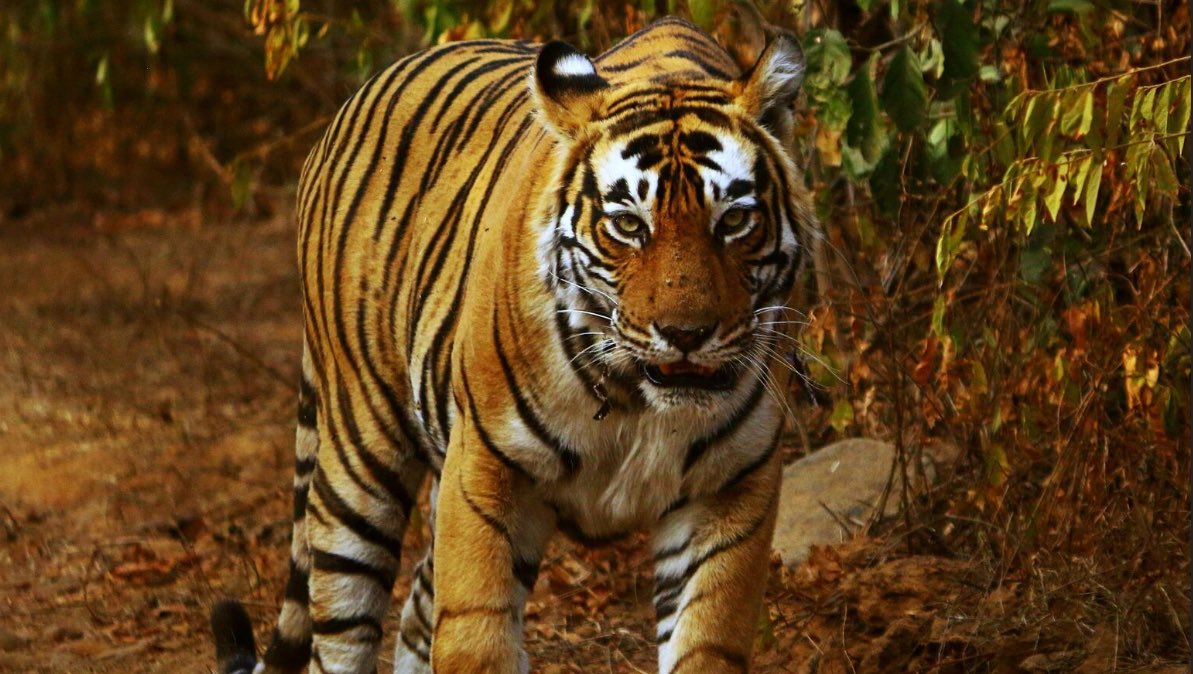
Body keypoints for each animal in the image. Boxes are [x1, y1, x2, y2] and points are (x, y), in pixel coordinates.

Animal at [210, 14, 815, 674]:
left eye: (733, 220)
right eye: (629, 225)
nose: (685, 335)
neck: (636, 399)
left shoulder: (729, 491)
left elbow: (706, 641)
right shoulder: (483, 473)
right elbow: (475, 633)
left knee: (417, 614)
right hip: (359, 460)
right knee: (341, 629)